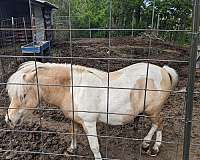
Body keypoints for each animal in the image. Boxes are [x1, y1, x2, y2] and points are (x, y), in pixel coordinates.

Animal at [5, 61, 178, 159]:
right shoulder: (74, 119)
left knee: (159, 123)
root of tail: (164, 71)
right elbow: (73, 133)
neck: (72, 89)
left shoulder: (89, 123)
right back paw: (147, 144)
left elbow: (94, 146)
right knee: (157, 124)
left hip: (153, 110)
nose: (9, 119)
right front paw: (71, 149)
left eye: (23, 95)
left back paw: (153, 146)